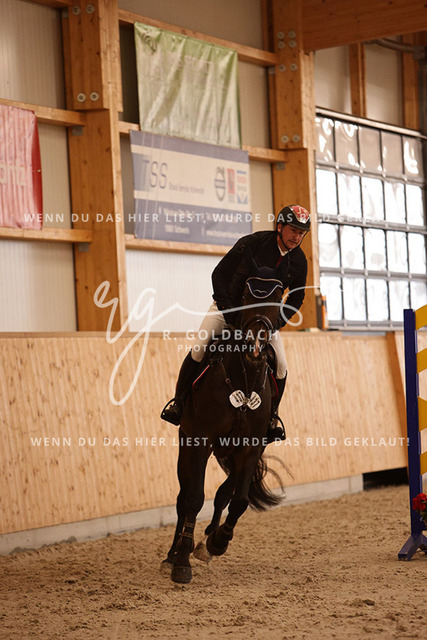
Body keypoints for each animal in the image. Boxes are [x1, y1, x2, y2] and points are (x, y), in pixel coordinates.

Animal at [162, 270, 286, 584]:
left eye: (278, 300)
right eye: (245, 297)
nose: (256, 345)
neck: (244, 378)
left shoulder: (251, 449)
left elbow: (238, 500)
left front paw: (217, 541)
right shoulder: (200, 443)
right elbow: (194, 499)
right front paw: (182, 562)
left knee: (223, 495)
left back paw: (207, 540)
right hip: (186, 445)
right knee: (183, 499)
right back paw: (173, 553)